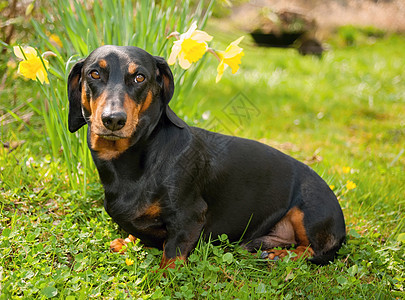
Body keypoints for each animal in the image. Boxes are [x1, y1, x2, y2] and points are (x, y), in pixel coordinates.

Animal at [66, 45, 344, 268]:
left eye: (139, 77)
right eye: (94, 73)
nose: (113, 119)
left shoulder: (189, 217)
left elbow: (172, 254)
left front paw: (164, 275)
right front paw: (128, 240)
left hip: (309, 212)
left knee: (313, 250)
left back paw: (281, 256)